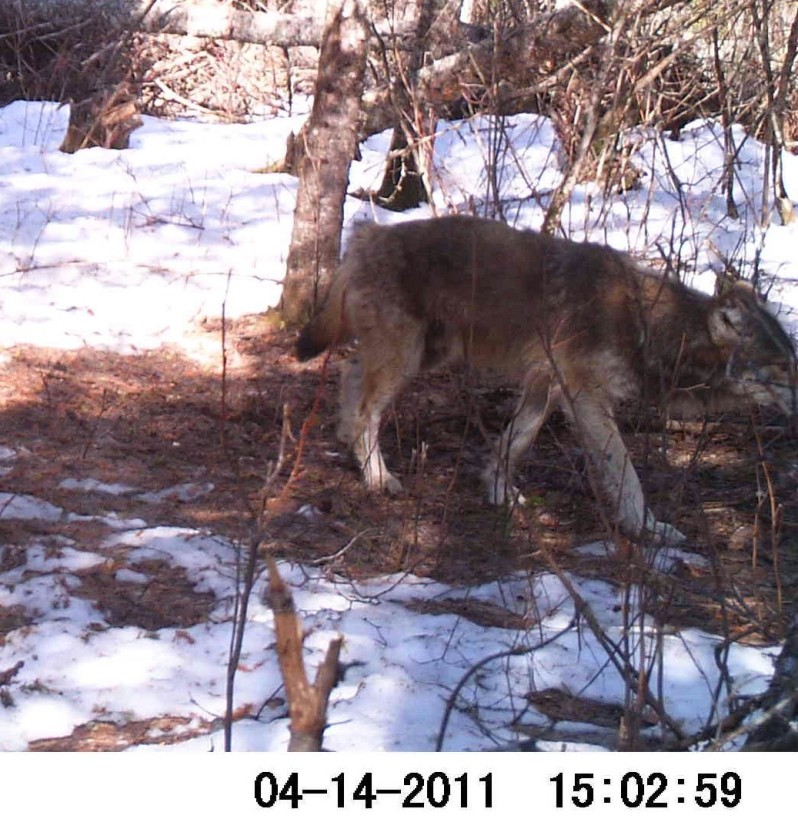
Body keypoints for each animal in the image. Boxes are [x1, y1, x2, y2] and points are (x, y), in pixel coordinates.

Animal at [296, 215, 796, 543]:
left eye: (793, 360)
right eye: (782, 368)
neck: (644, 323)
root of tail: (368, 234)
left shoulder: (546, 385)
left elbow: (515, 442)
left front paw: (500, 492)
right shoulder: (586, 396)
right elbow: (625, 472)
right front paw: (648, 528)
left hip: (421, 355)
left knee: (349, 373)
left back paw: (345, 438)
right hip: (406, 358)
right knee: (367, 409)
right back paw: (378, 478)